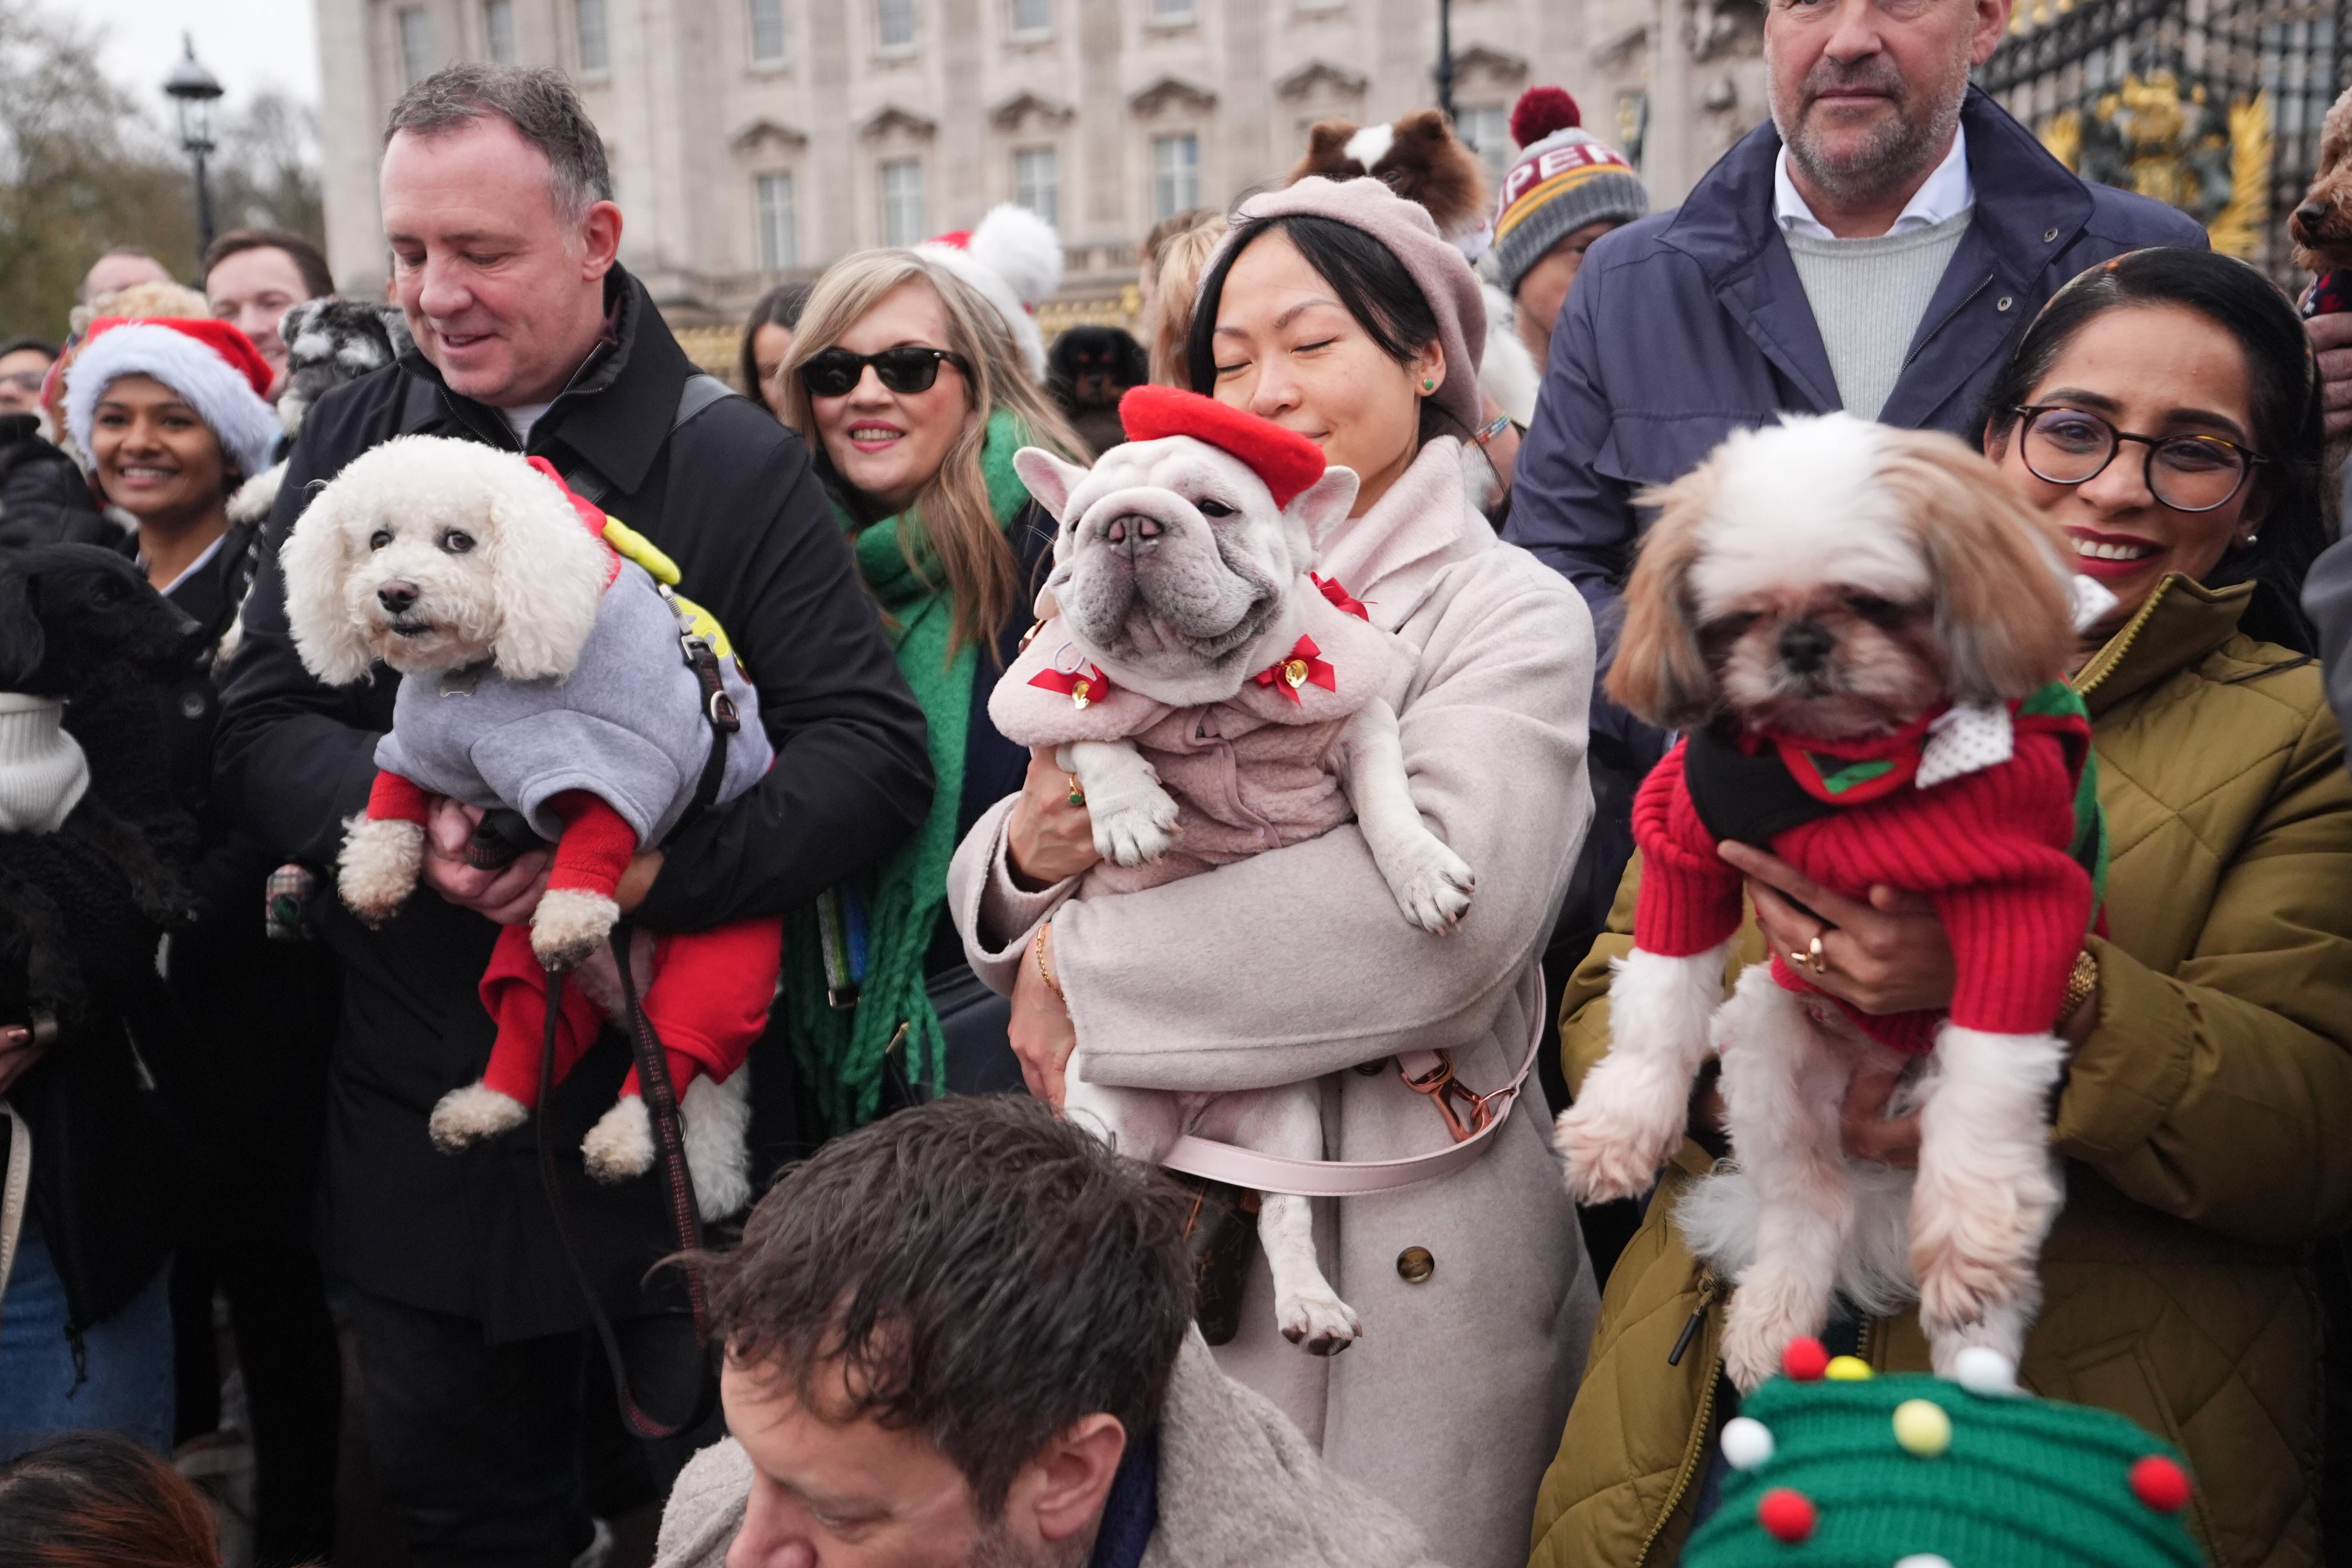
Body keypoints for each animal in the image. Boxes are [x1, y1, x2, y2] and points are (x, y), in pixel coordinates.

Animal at [0, 545, 209, 1034]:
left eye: (143, 579)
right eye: (103, 598)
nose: (197, 633)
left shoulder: (69, 800)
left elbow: (127, 834)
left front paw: (164, 890)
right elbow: (28, 894)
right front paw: (57, 976)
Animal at [1562, 414, 2098, 1382]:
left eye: (1872, 602)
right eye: (1741, 617)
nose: (1804, 643)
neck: (1843, 768)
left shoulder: (2018, 900)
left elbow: (1990, 1081)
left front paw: (1966, 1241)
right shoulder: (1683, 841)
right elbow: (1659, 994)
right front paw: (1623, 1125)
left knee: (1989, 1272)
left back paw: (1978, 1378)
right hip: (1769, 1051)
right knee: (1810, 1202)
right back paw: (1774, 1317)